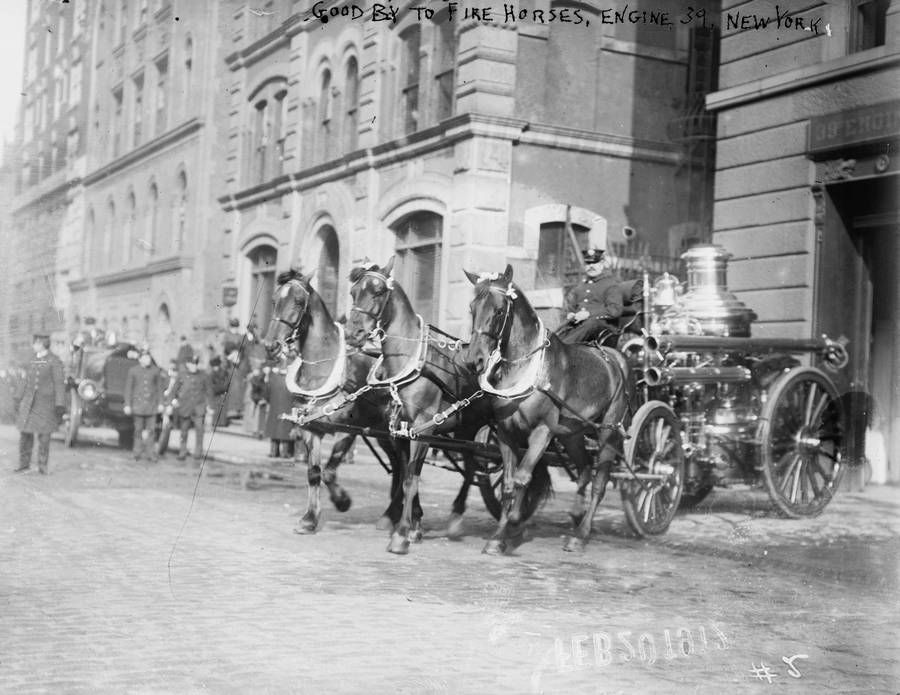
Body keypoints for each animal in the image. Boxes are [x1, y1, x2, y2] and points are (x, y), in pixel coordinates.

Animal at [260, 270, 414, 536]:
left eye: (298, 302)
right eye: (274, 300)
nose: (271, 345)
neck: (324, 368)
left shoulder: (349, 430)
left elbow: (330, 472)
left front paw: (342, 501)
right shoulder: (310, 429)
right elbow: (314, 473)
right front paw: (310, 519)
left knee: (406, 468)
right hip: (383, 433)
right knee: (398, 466)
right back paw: (391, 515)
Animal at [344, 256, 502, 556]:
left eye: (378, 292)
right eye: (353, 292)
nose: (352, 334)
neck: (411, 361)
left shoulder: (422, 429)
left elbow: (410, 478)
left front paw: (402, 534)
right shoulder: (400, 430)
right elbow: (407, 474)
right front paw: (413, 525)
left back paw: (461, 516)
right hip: (466, 427)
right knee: (472, 465)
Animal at [460, 266, 628, 556]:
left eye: (499, 311)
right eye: (472, 308)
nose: (474, 361)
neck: (525, 369)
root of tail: (613, 356)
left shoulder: (542, 432)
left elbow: (522, 478)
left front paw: (511, 525)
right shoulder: (505, 433)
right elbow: (508, 484)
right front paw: (500, 535)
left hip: (608, 432)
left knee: (599, 481)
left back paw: (581, 534)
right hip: (572, 434)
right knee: (585, 468)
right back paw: (576, 516)